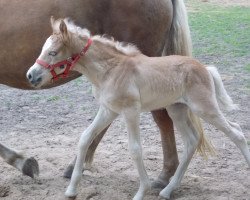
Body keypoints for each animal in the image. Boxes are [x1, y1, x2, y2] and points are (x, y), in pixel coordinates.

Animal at [26, 18, 249, 199]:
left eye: (53, 52)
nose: (31, 75)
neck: (110, 70)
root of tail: (205, 68)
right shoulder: (108, 110)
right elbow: (85, 138)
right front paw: (71, 190)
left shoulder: (130, 111)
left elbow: (135, 149)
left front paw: (141, 192)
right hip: (177, 110)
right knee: (192, 141)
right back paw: (167, 191)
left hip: (204, 108)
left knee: (237, 132)